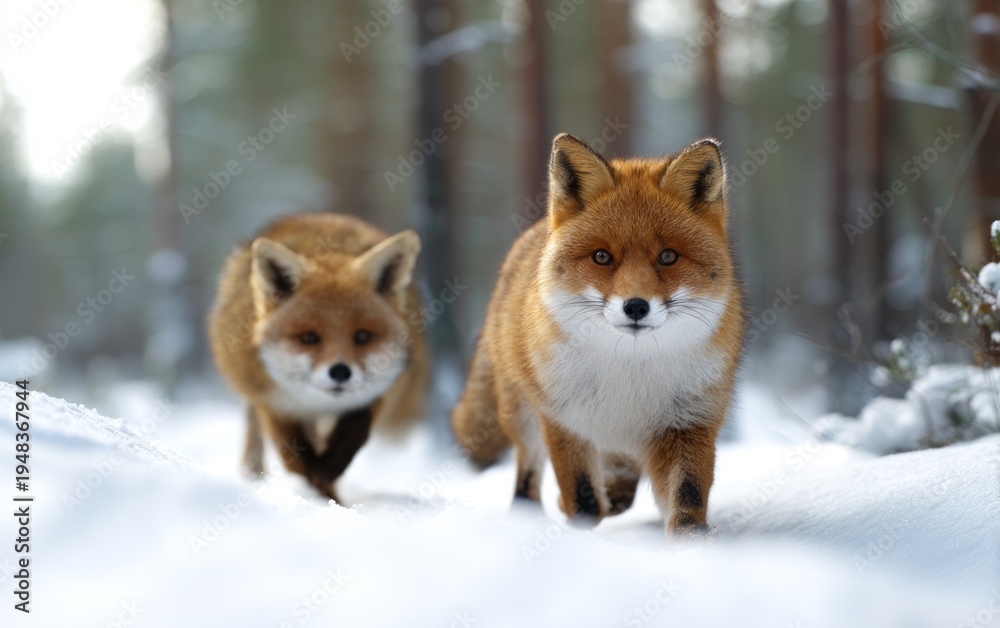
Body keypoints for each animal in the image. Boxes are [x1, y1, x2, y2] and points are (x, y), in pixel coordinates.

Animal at [208, 213, 428, 501]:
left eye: (362, 336)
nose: (340, 371)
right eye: (309, 337)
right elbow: (295, 459)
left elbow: (352, 436)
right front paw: (317, 498)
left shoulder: (387, 386)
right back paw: (252, 472)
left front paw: (328, 479)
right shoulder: (273, 402)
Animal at [452, 134, 744, 535]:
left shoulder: (689, 419)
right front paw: (578, 535)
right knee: (528, 474)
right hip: (523, 414)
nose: (635, 307)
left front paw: (691, 542)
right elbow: (583, 497)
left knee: (622, 479)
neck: (628, 372)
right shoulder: (564, 421)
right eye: (602, 257)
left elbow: (687, 495)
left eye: (668, 257)